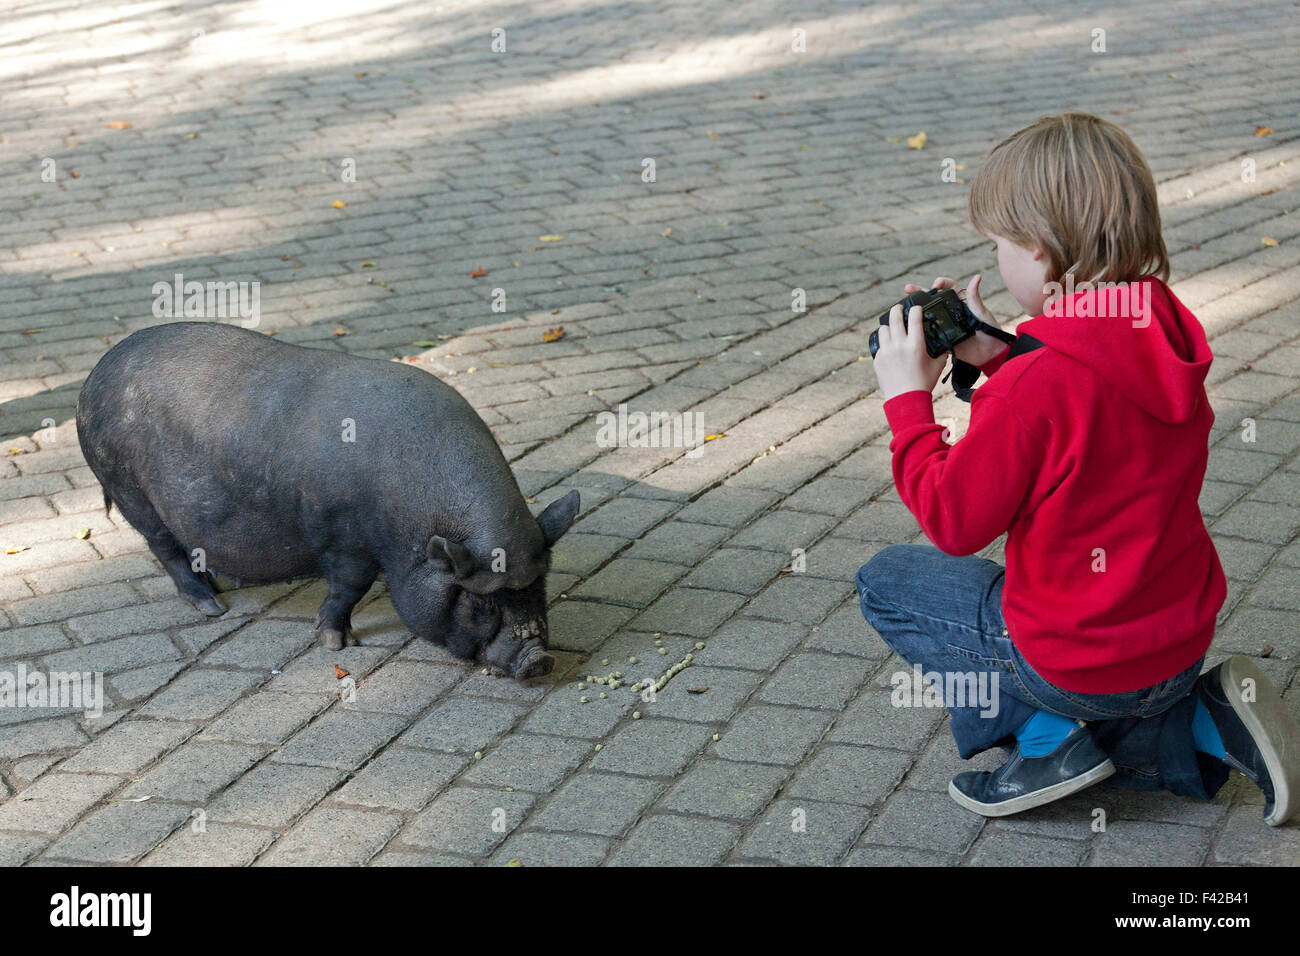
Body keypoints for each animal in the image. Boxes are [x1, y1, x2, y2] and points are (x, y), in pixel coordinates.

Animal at [73, 321, 577, 681]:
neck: (409, 532)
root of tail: (97, 372)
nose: (539, 659)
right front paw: (339, 645)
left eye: (538, 586)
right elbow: (347, 588)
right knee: (164, 547)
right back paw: (212, 606)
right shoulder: (343, 538)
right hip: (129, 489)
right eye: (481, 604)